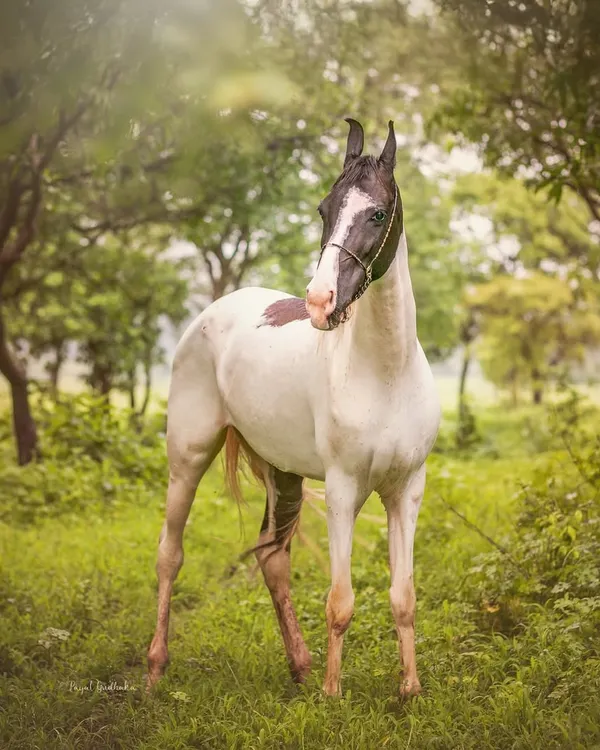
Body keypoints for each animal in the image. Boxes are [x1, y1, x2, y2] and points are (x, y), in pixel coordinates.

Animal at [147, 118, 441, 698]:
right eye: (324, 210)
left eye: (377, 213)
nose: (321, 303)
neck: (386, 374)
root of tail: (213, 312)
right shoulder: (344, 491)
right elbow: (341, 601)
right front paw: (332, 694)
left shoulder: (406, 491)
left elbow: (404, 597)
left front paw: (410, 691)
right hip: (187, 458)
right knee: (171, 554)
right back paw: (155, 667)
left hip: (281, 470)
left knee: (271, 556)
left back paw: (300, 666)